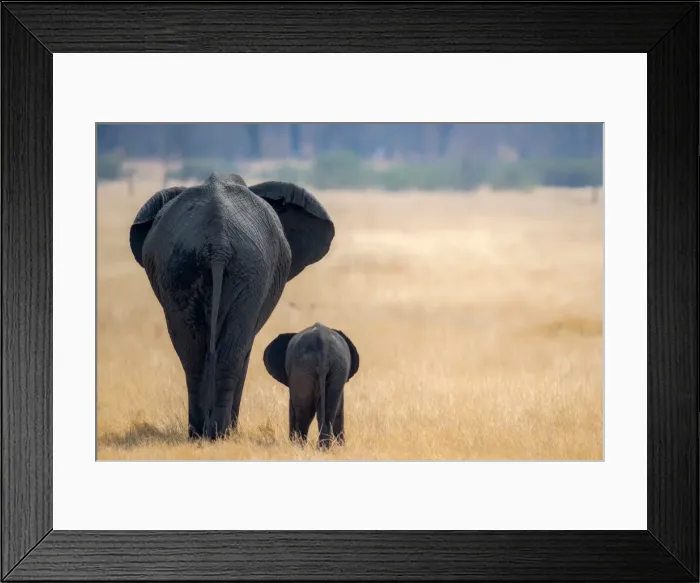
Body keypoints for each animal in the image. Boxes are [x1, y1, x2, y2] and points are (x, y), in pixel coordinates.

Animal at [129, 173, 335, 440]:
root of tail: (217, 244)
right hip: (242, 270)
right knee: (233, 351)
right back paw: (219, 433)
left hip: (188, 267)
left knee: (193, 351)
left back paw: (202, 433)